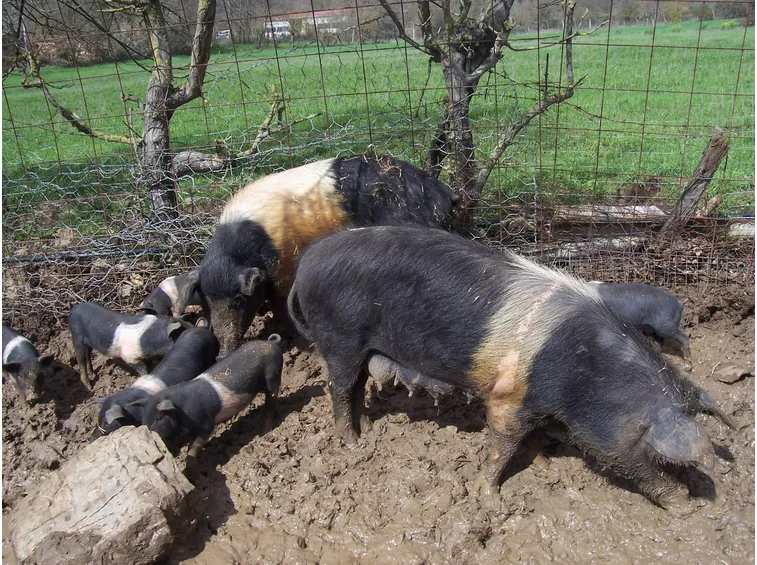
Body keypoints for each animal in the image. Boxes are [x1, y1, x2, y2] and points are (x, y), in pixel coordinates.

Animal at [136, 334, 284, 456]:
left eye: (158, 418)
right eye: (144, 420)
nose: (149, 434)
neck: (182, 412)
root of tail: (271, 342)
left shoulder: (205, 423)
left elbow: (193, 448)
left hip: (273, 375)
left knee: (270, 403)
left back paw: (265, 433)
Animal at [181, 154, 461, 356]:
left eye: (238, 300)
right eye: (206, 300)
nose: (223, 353)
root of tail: (443, 193)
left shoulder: (284, 263)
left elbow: (279, 299)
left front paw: (282, 334)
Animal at [288, 226, 734, 506]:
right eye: (653, 454)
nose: (692, 505)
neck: (587, 372)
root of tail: (304, 266)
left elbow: (533, 438)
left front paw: (544, 464)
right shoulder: (508, 396)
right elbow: (502, 445)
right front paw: (490, 497)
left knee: (357, 385)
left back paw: (364, 431)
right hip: (339, 336)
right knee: (340, 387)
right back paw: (351, 443)